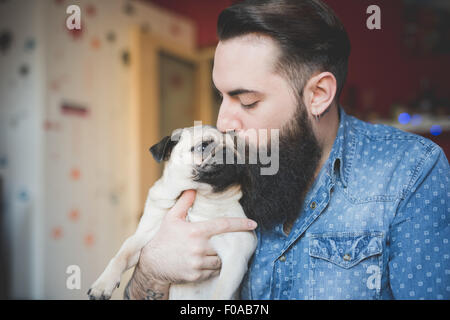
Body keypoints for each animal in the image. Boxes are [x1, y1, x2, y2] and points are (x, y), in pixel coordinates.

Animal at [88, 125, 256, 300]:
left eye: (238, 148)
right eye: (203, 146)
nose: (228, 151)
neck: (198, 196)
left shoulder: (237, 252)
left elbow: (220, 292)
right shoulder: (144, 235)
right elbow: (122, 255)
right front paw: (103, 284)